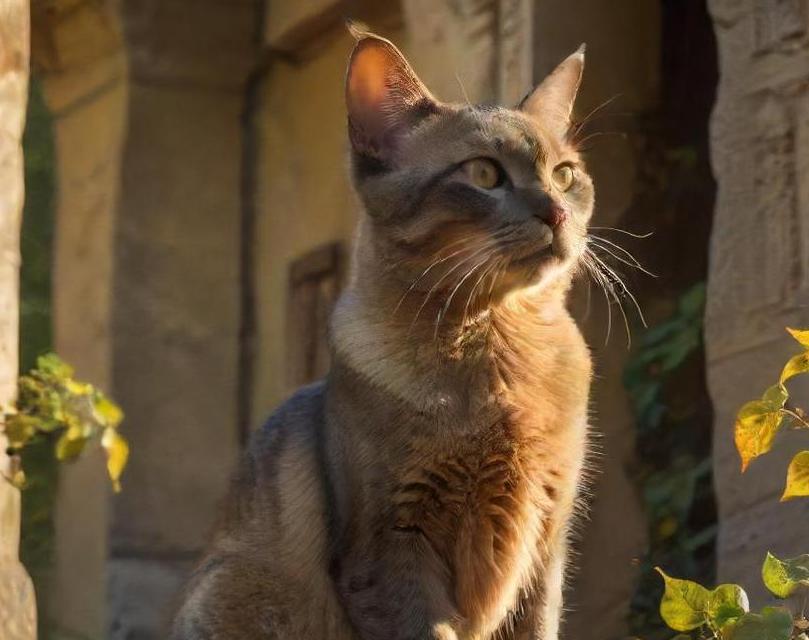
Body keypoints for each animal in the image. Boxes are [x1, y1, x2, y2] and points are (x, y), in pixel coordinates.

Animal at [167, 26, 592, 640]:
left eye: (565, 175)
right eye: (484, 173)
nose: (556, 213)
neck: (497, 350)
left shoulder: (544, 544)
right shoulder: (389, 550)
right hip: (230, 587)